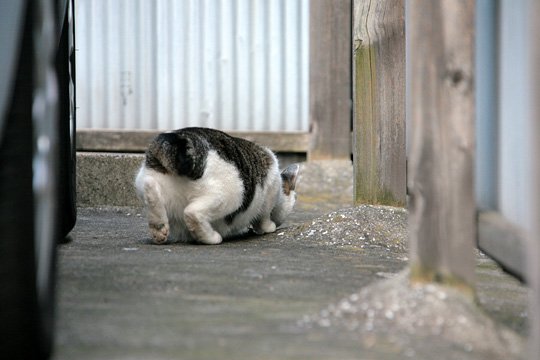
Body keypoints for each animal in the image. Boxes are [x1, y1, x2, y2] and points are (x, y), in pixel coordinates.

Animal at [132, 126, 298, 245]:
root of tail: (178, 139)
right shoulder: (271, 187)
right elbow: (264, 217)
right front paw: (269, 226)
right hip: (231, 193)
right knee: (192, 213)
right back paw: (212, 238)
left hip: (143, 179)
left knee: (150, 187)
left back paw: (158, 229)